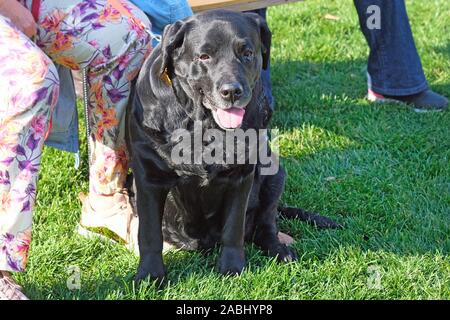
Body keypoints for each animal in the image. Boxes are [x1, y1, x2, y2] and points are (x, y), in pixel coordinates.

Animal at [126, 9, 338, 282]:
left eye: (247, 53)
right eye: (204, 56)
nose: (231, 91)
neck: (203, 126)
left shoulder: (242, 174)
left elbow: (233, 228)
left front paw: (232, 268)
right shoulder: (148, 176)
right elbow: (150, 233)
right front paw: (150, 276)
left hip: (275, 172)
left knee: (265, 224)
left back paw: (280, 250)